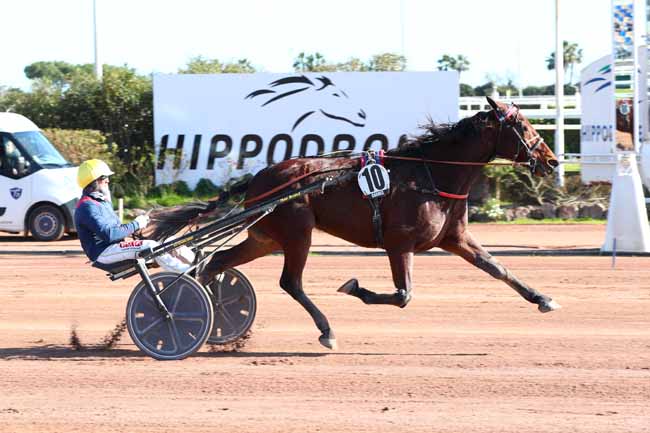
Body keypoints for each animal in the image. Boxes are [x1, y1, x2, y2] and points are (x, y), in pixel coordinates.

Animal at [144, 97, 560, 348]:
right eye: (523, 127)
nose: (553, 161)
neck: (430, 174)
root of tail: (262, 177)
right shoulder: (399, 244)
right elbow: (403, 295)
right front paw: (354, 286)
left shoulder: (455, 239)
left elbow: (498, 268)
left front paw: (543, 298)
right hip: (297, 233)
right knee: (290, 282)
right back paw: (325, 330)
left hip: (266, 238)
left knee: (214, 262)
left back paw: (210, 318)